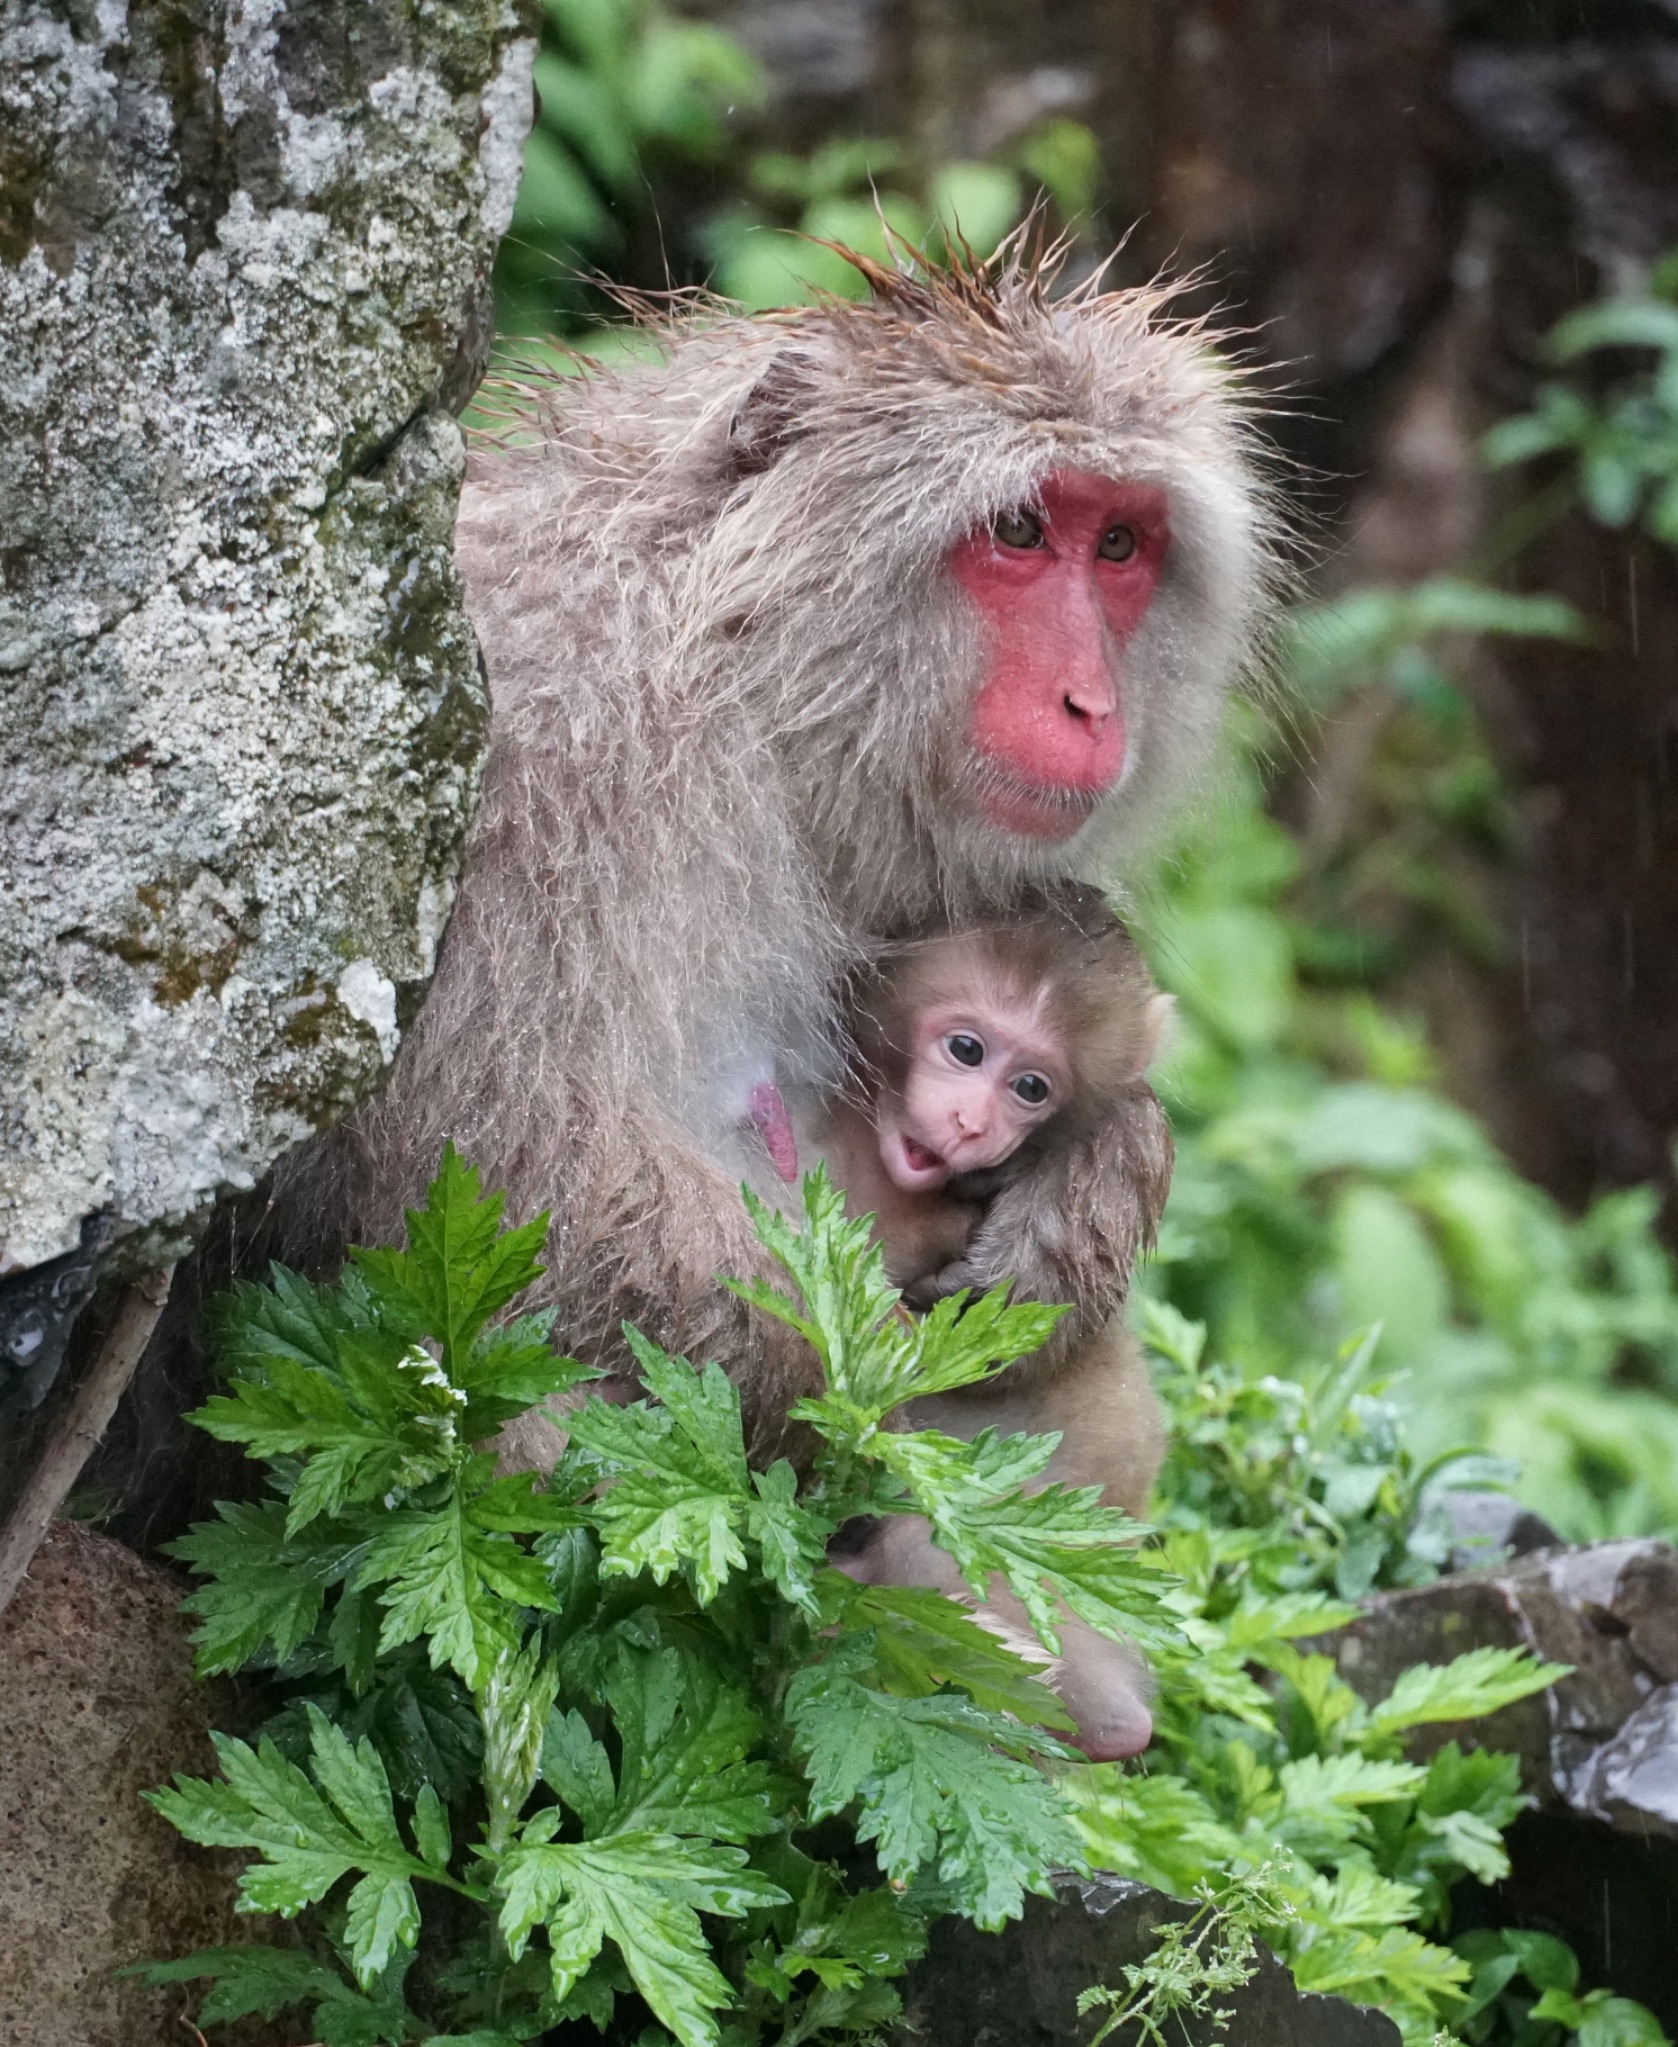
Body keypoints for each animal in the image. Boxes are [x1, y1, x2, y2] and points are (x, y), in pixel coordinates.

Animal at [269, 245, 1278, 1484]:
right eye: (1021, 531)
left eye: (1120, 546)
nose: (1090, 702)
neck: (727, 674)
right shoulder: (525, 758)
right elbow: (497, 1162)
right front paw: (852, 1356)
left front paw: (1096, 1185)